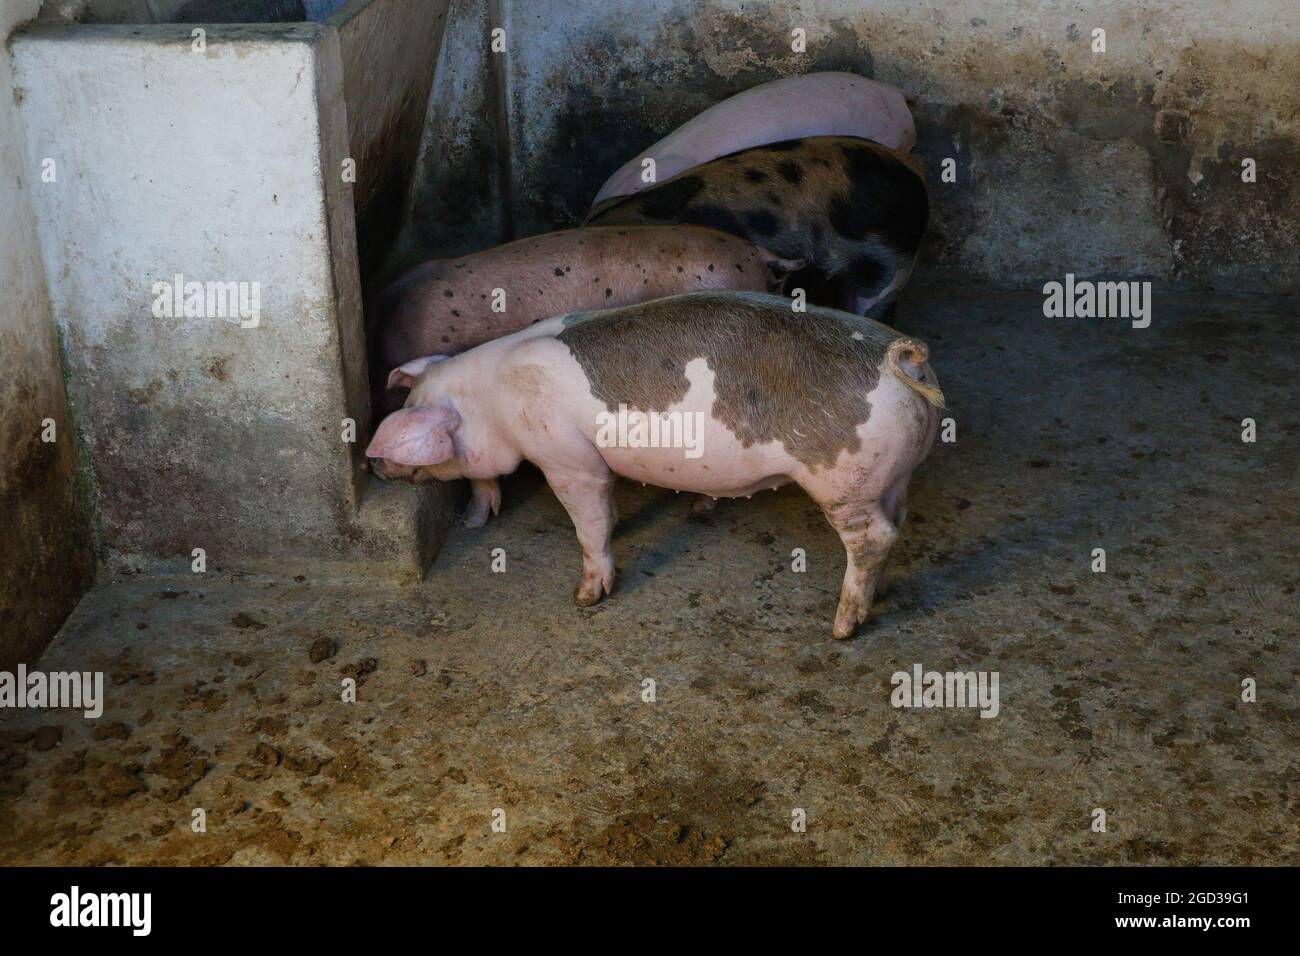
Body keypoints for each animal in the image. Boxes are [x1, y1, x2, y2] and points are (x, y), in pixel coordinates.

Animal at [366, 287, 946, 639]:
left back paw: (841, 628)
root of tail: (902, 356)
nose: (374, 468)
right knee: (897, 524)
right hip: (894, 475)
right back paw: (878, 595)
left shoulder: (567, 458)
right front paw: (473, 521)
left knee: (872, 538)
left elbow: (588, 521)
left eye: (409, 418)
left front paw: (585, 598)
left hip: (843, 481)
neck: (490, 403)